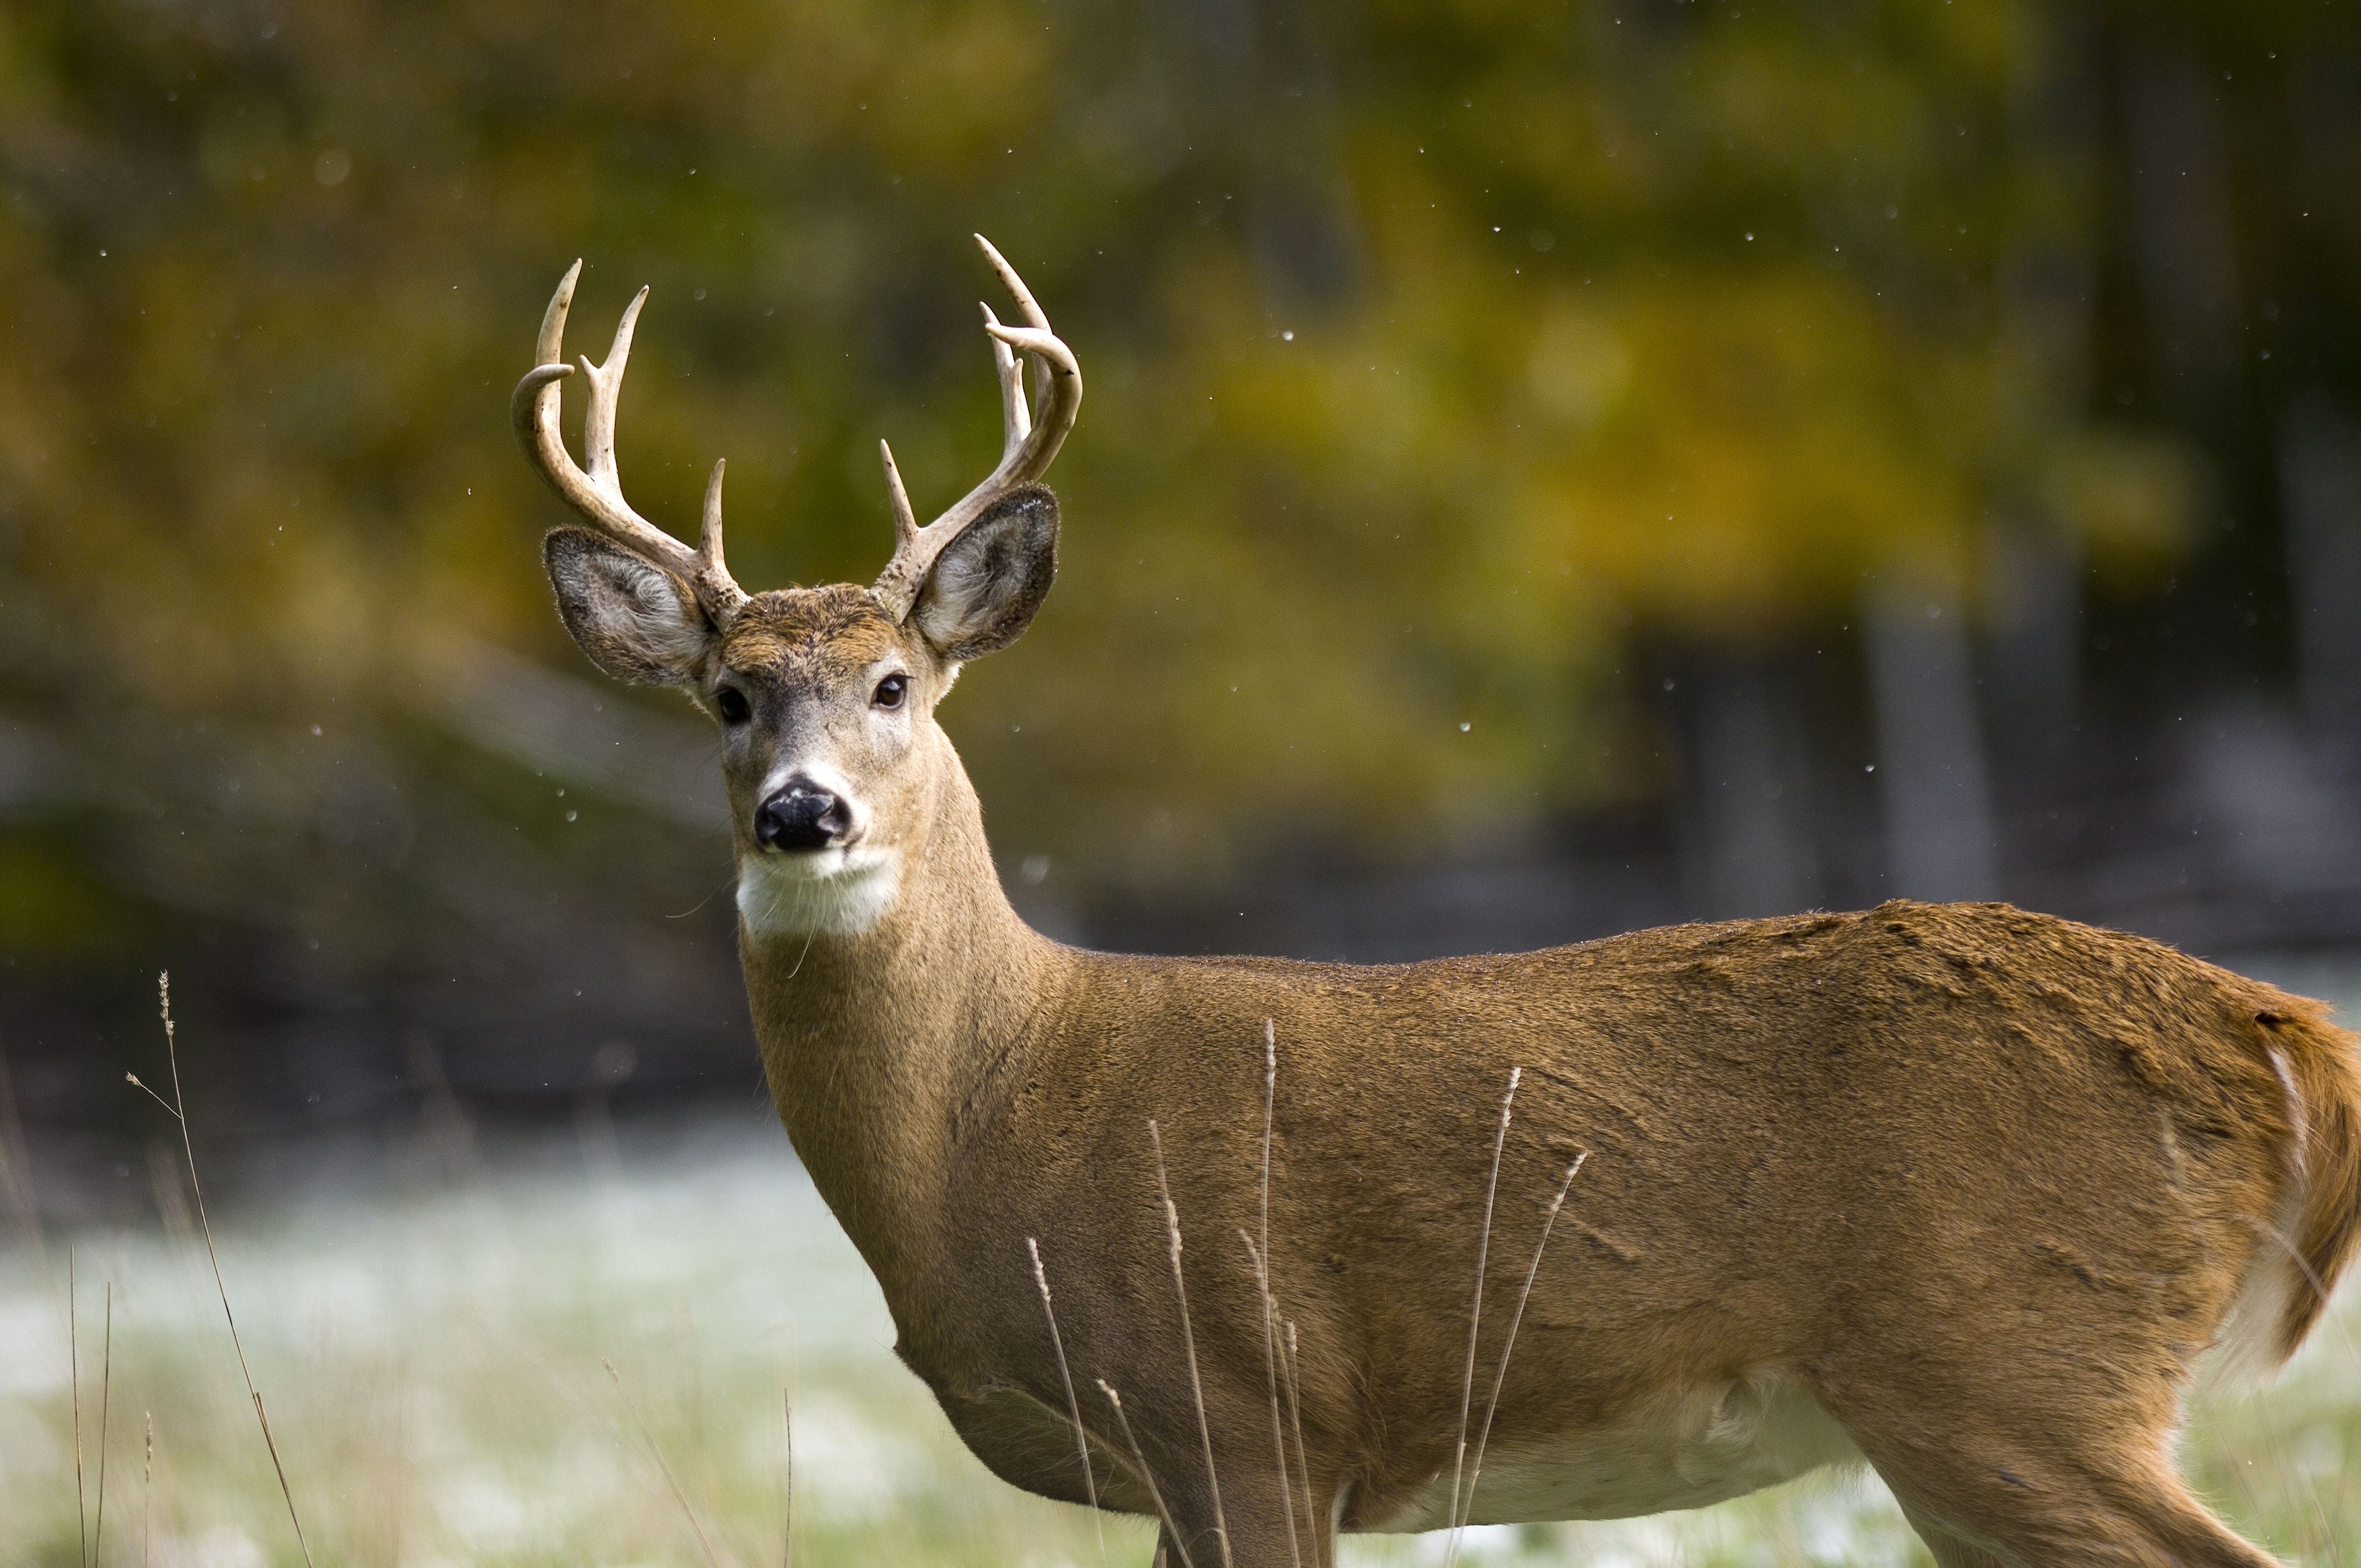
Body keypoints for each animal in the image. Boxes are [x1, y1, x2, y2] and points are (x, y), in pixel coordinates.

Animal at [512, 236, 2361, 1568]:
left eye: (894, 682)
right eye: (728, 698)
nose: (802, 812)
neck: (996, 1118)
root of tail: (2276, 1021)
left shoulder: (1240, 1409)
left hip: (2012, 1362)